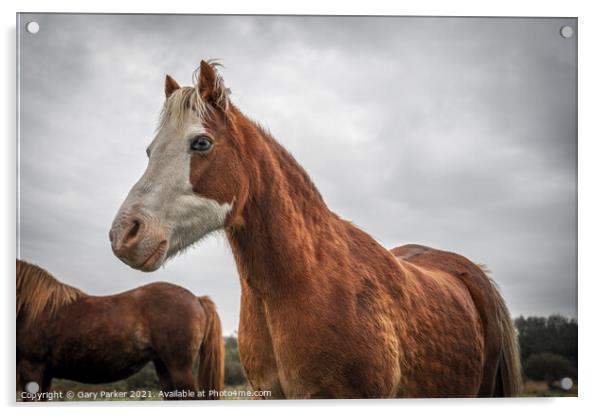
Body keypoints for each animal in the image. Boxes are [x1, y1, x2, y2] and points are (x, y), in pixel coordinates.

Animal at [16, 262, 224, 402]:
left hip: (179, 367)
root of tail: (196, 298)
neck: (34, 308)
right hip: (164, 366)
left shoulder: (31, 367)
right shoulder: (45, 373)